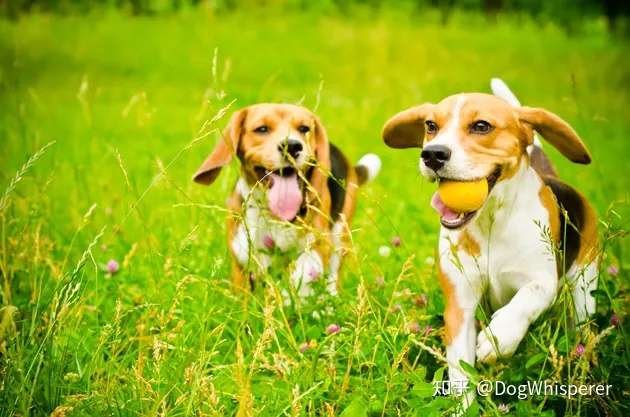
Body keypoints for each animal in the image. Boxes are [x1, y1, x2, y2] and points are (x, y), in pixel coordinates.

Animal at [194, 103, 380, 296]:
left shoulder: (319, 245)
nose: (291, 146)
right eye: (262, 129)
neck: (273, 214)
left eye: (304, 128)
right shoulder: (242, 254)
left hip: (340, 236)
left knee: (332, 275)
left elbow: (302, 272)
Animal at [382, 79, 600, 410]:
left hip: (584, 287)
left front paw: (500, 338)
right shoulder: (460, 305)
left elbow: (527, 297)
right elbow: (461, 373)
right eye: (431, 126)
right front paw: (464, 409)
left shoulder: (542, 281)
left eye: (481, 126)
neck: (490, 222)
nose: (432, 154)